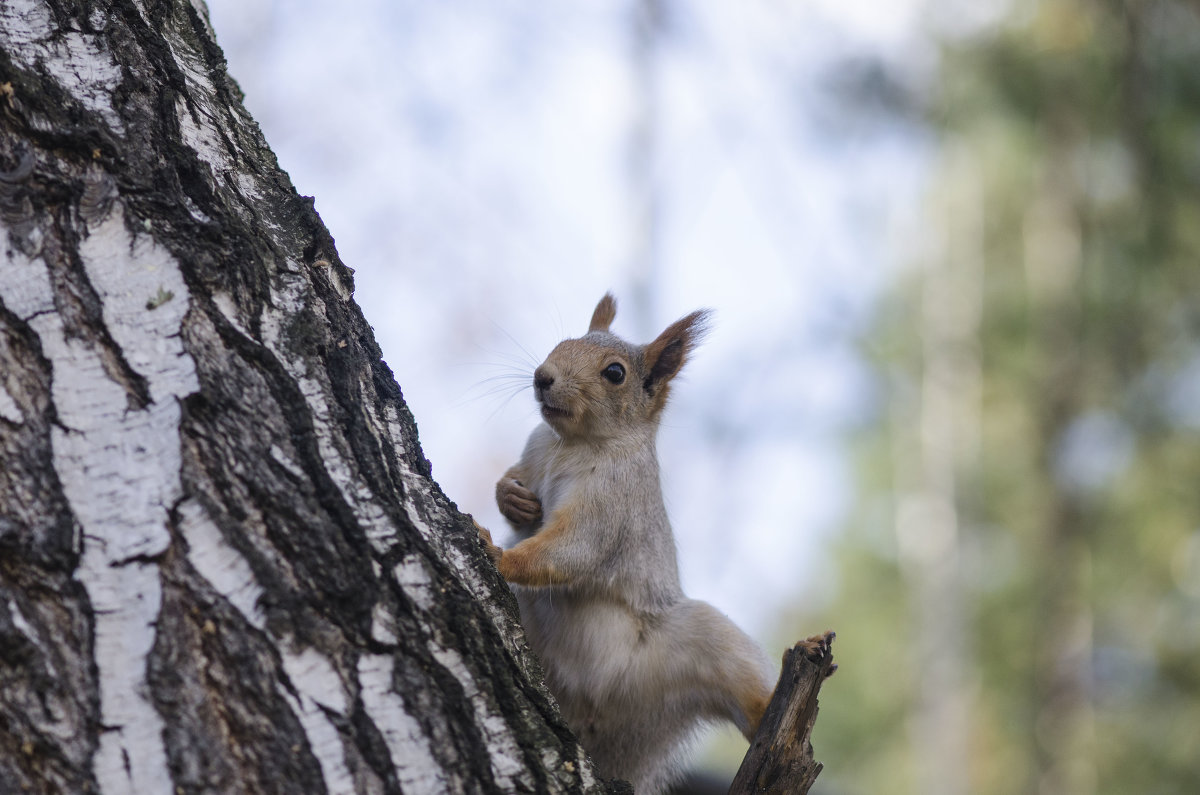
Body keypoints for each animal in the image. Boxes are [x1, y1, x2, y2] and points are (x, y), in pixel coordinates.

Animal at [477, 295, 835, 792]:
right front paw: (510, 497)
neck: (572, 443)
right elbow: (517, 487)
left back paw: (773, 709)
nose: (542, 376)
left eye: (615, 373)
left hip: (692, 651)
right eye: (563, 342)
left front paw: (499, 555)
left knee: (748, 704)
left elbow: (573, 549)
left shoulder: (613, 504)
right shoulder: (534, 452)